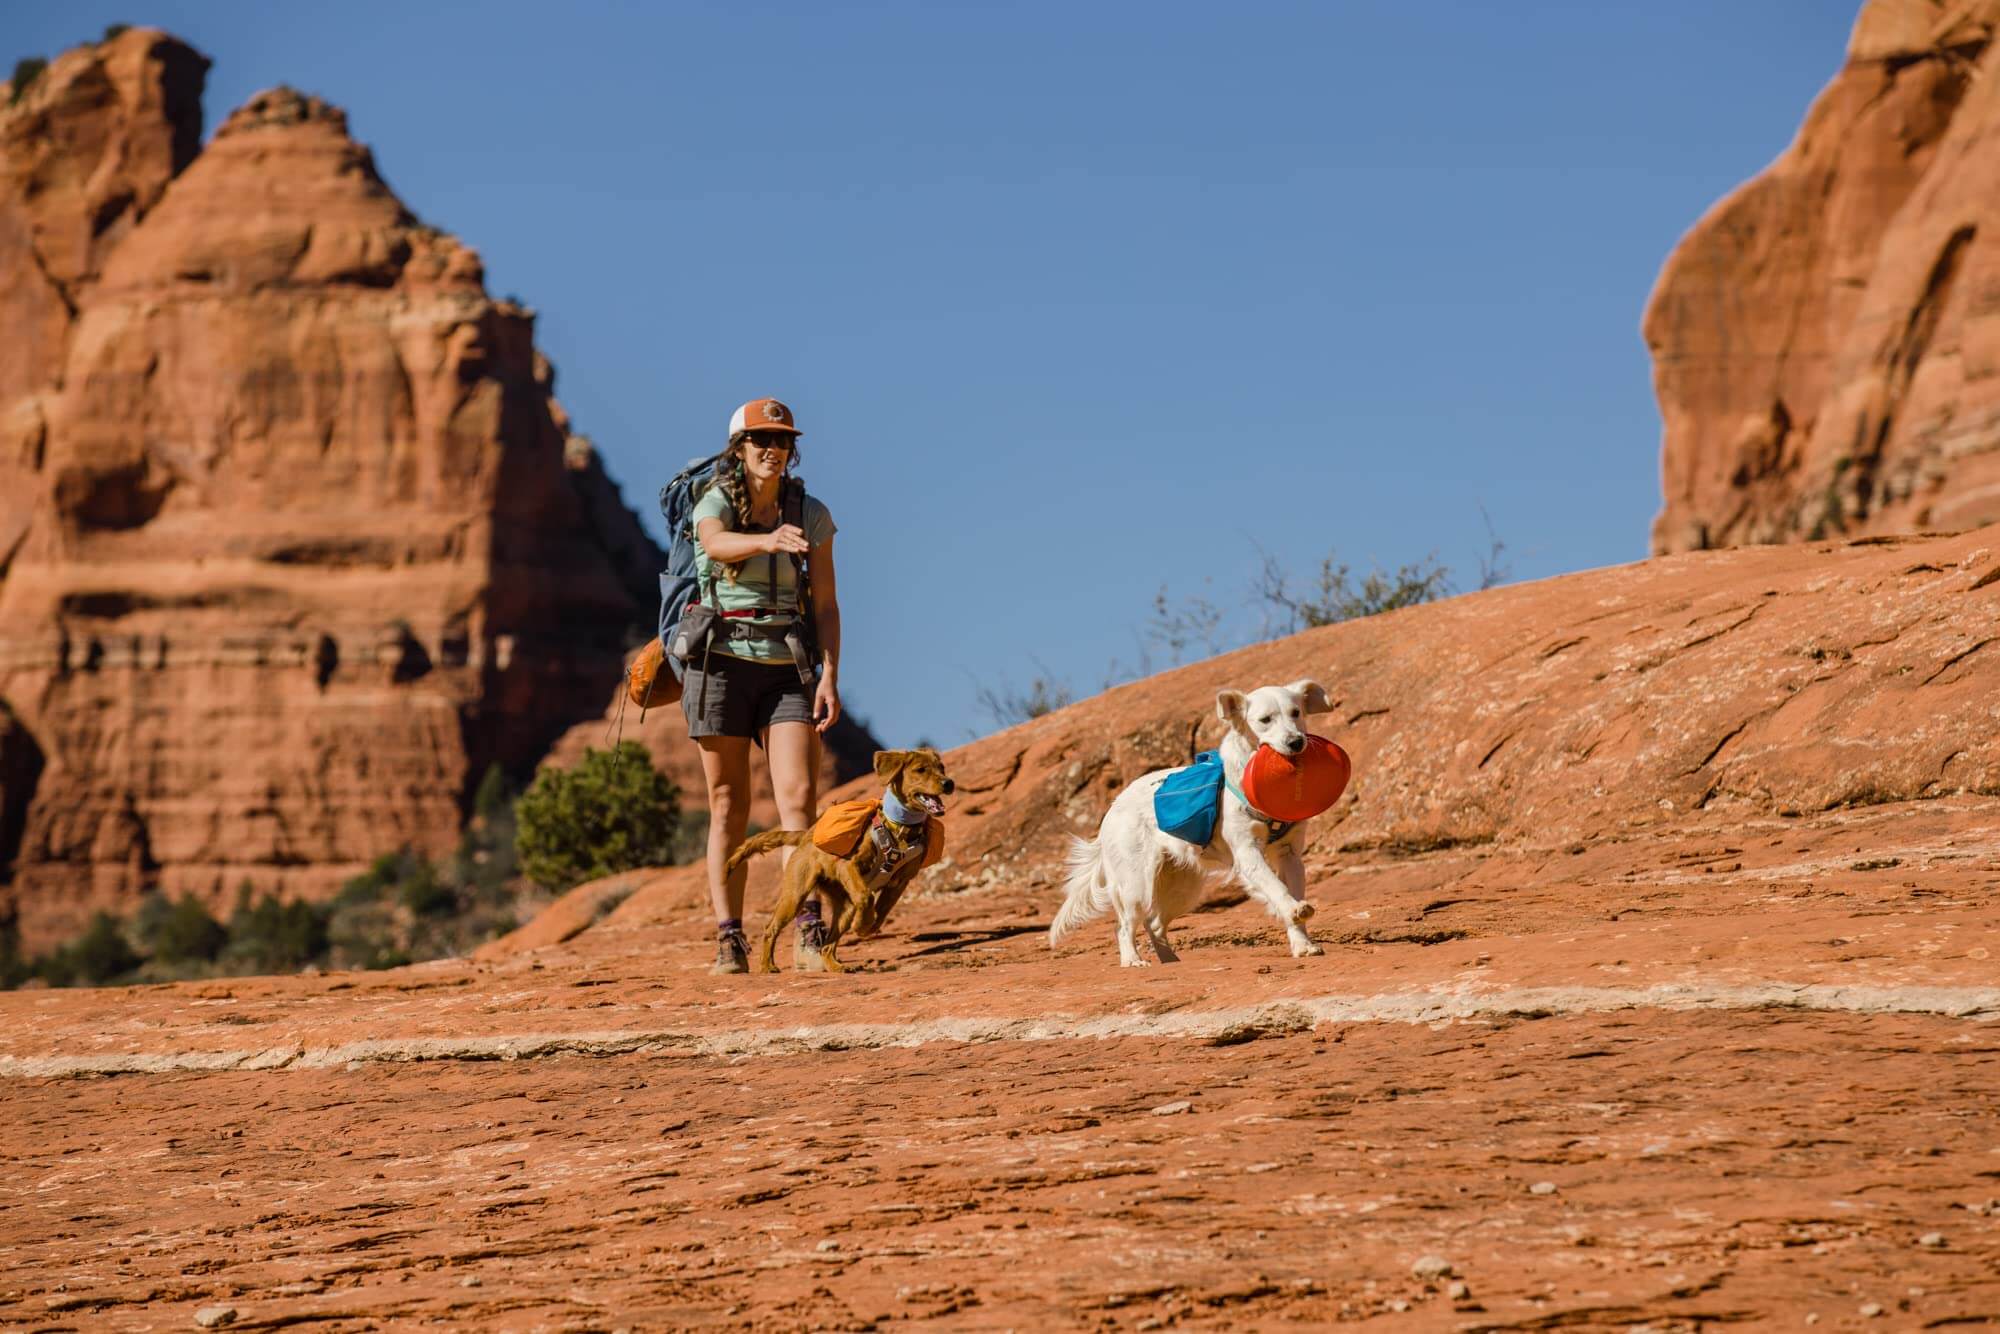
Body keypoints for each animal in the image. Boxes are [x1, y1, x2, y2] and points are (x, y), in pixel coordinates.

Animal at [724, 752, 956, 972]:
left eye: (942, 768)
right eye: (921, 770)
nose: (949, 783)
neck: (899, 828)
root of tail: (806, 835)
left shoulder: (900, 882)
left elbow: (881, 913)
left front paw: (867, 926)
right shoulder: (848, 865)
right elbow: (866, 897)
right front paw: (861, 925)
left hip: (844, 907)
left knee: (827, 945)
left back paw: (837, 967)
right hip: (795, 895)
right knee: (770, 928)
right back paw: (767, 966)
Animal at [1048, 684, 1328, 964]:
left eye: (1296, 713)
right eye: (1265, 720)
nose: (1296, 742)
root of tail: (1112, 808)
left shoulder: (1289, 855)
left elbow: (1291, 892)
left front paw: (1303, 945)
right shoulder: (1247, 853)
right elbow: (1277, 888)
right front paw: (1295, 911)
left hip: (1183, 888)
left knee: (1154, 924)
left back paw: (1170, 961)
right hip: (1136, 884)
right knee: (1124, 926)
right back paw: (1132, 960)